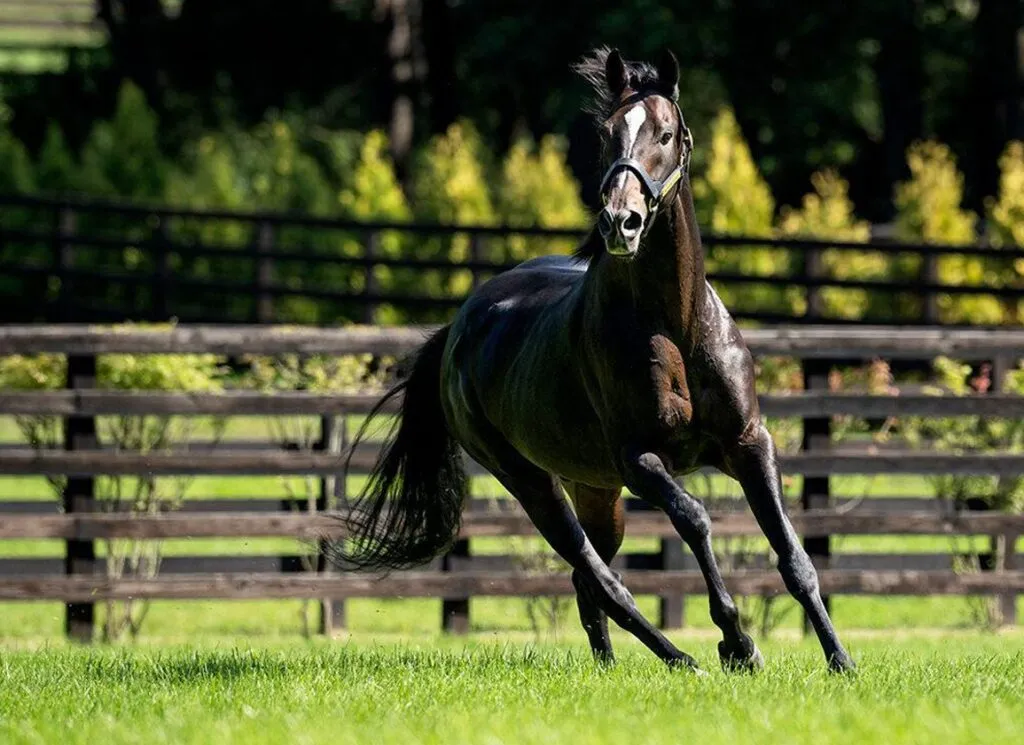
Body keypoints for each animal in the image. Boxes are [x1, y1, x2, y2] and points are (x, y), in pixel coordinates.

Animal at [332, 47, 855, 674]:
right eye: (607, 135)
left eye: (667, 134)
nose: (620, 222)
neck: (676, 328)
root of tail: (457, 330)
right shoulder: (639, 461)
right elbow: (695, 519)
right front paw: (737, 641)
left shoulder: (749, 443)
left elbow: (793, 554)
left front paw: (840, 660)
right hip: (532, 483)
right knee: (601, 578)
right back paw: (682, 659)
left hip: (595, 488)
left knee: (589, 584)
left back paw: (616, 664)